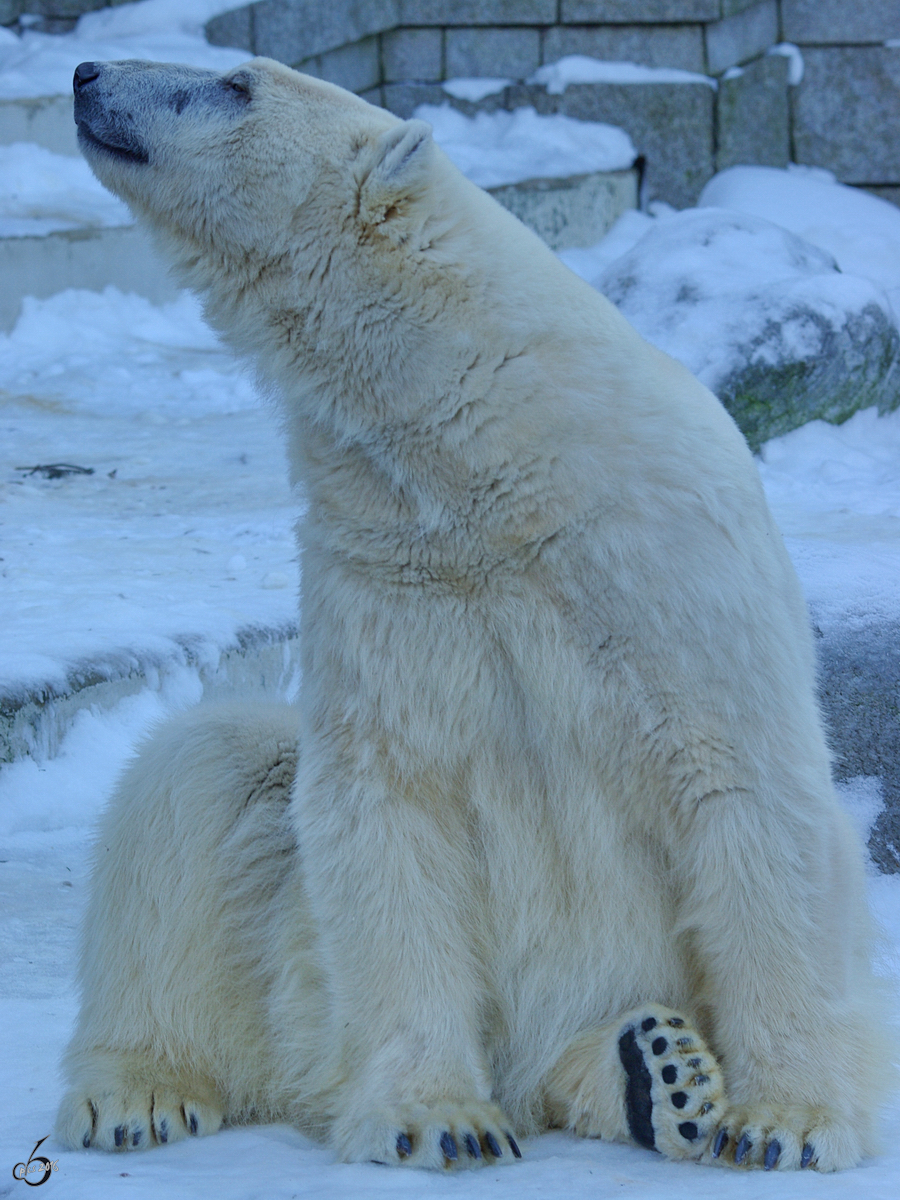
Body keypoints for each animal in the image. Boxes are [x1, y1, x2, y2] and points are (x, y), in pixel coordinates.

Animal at [60, 56, 892, 1171]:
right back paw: (140, 1090)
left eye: (235, 83)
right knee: (203, 774)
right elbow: (384, 797)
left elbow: (749, 787)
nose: (87, 71)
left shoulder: (665, 559)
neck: (495, 459)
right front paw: (438, 1118)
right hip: (299, 990)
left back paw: (658, 1074)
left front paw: (786, 1123)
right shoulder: (387, 569)